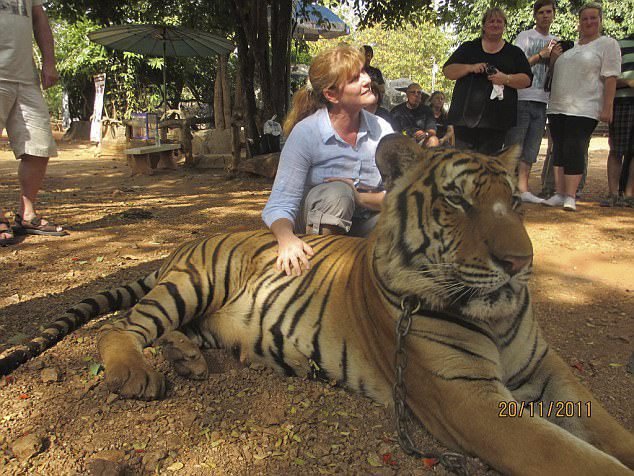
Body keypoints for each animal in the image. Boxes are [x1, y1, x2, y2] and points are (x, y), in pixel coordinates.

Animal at [0, 135, 628, 476]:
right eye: (455, 200)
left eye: (516, 202)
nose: (521, 264)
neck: (494, 317)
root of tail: (185, 245)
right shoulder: (469, 398)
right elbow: (573, 456)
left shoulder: (548, 372)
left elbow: (610, 427)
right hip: (193, 283)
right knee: (122, 328)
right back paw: (137, 372)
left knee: (173, 333)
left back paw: (187, 359)